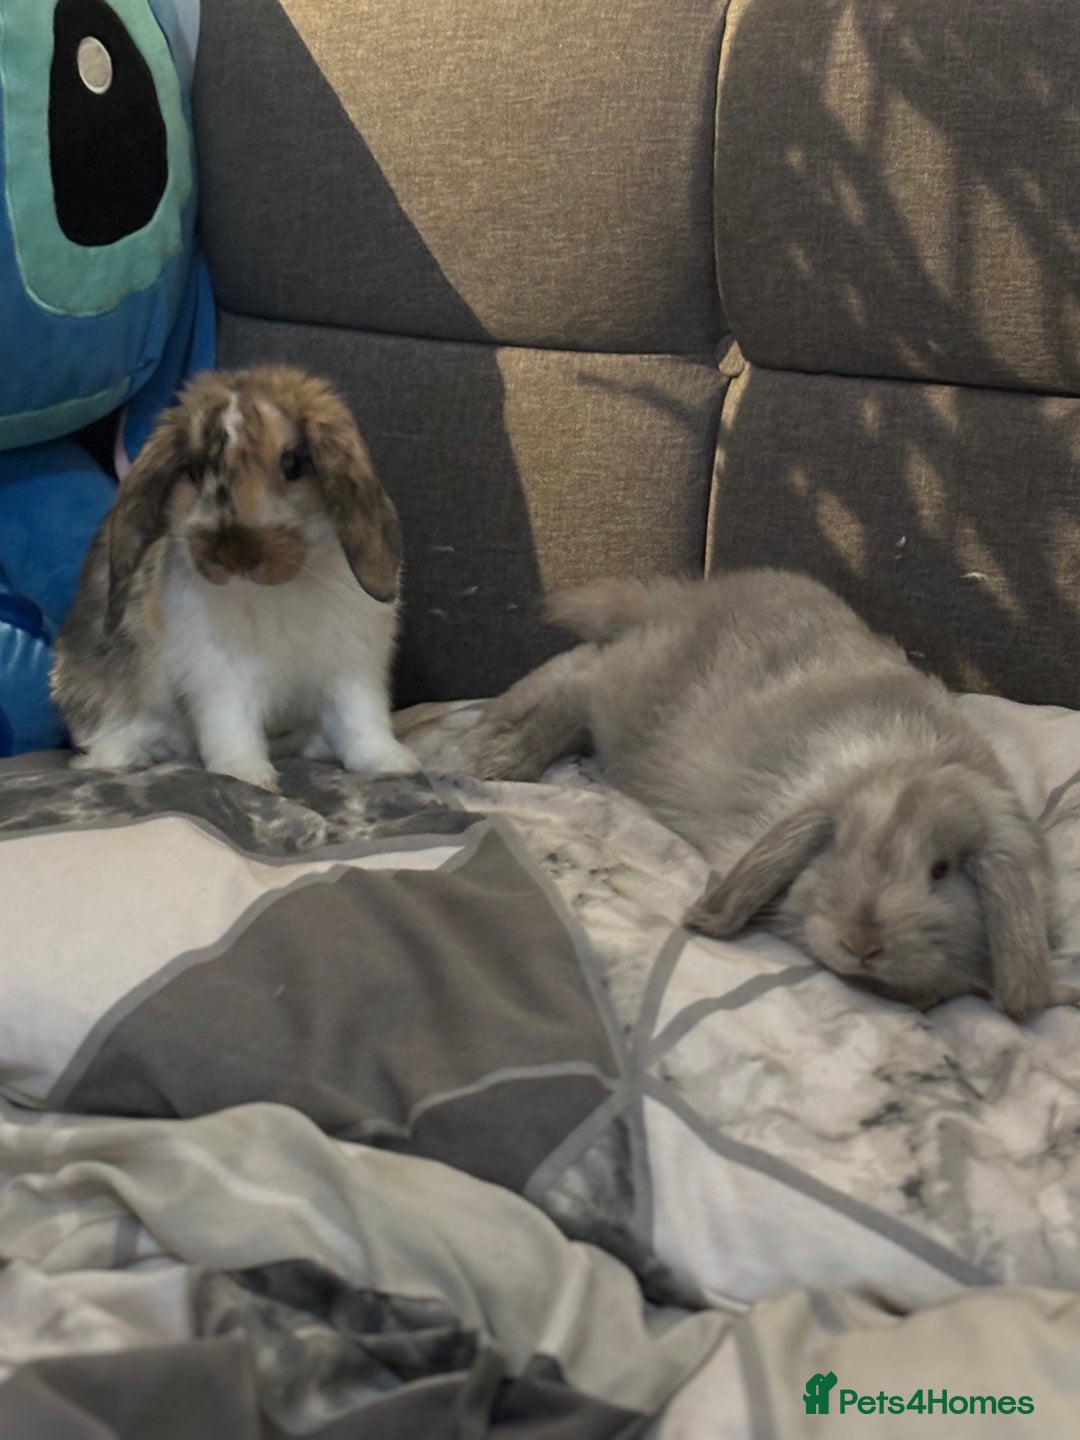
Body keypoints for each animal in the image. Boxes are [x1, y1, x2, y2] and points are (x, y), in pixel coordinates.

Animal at [51, 365, 421, 792]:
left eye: (293, 463)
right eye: (194, 471)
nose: (235, 555)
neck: (279, 591)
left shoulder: (352, 668)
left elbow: (362, 722)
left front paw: (392, 763)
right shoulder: (219, 675)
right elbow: (232, 728)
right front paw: (248, 775)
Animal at [461, 568, 1058, 1020]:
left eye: (941, 872)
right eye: (839, 848)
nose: (860, 942)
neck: (906, 765)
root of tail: (681, 601)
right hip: (627, 699)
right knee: (577, 673)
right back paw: (497, 746)